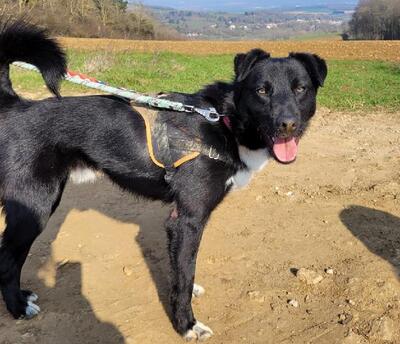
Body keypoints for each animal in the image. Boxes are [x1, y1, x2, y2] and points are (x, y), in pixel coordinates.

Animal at [0, 20, 324, 340]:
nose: (287, 125)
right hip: (34, 207)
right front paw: (186, 324)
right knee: (7, 260)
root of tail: (15, 104)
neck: (224, 121)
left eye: (300, 88)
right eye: (261, 91)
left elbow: (184, 269)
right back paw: (18, 308)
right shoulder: (187, 220)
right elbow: (184, 274)